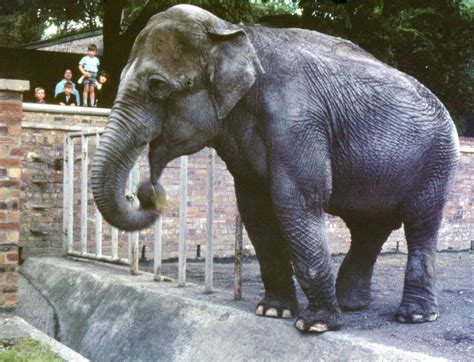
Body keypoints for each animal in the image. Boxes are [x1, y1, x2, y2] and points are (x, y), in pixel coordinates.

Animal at [91, 4, 460, 334]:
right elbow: (254, 207)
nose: (147, 191)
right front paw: (272, 312)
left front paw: (314, 325)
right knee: (370, 228)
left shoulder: (296, 122)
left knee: (420, 223)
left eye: (157, 86)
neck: (232, 31)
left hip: (438, 159)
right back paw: (352, 304)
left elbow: (298, 201)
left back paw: (414, 316)